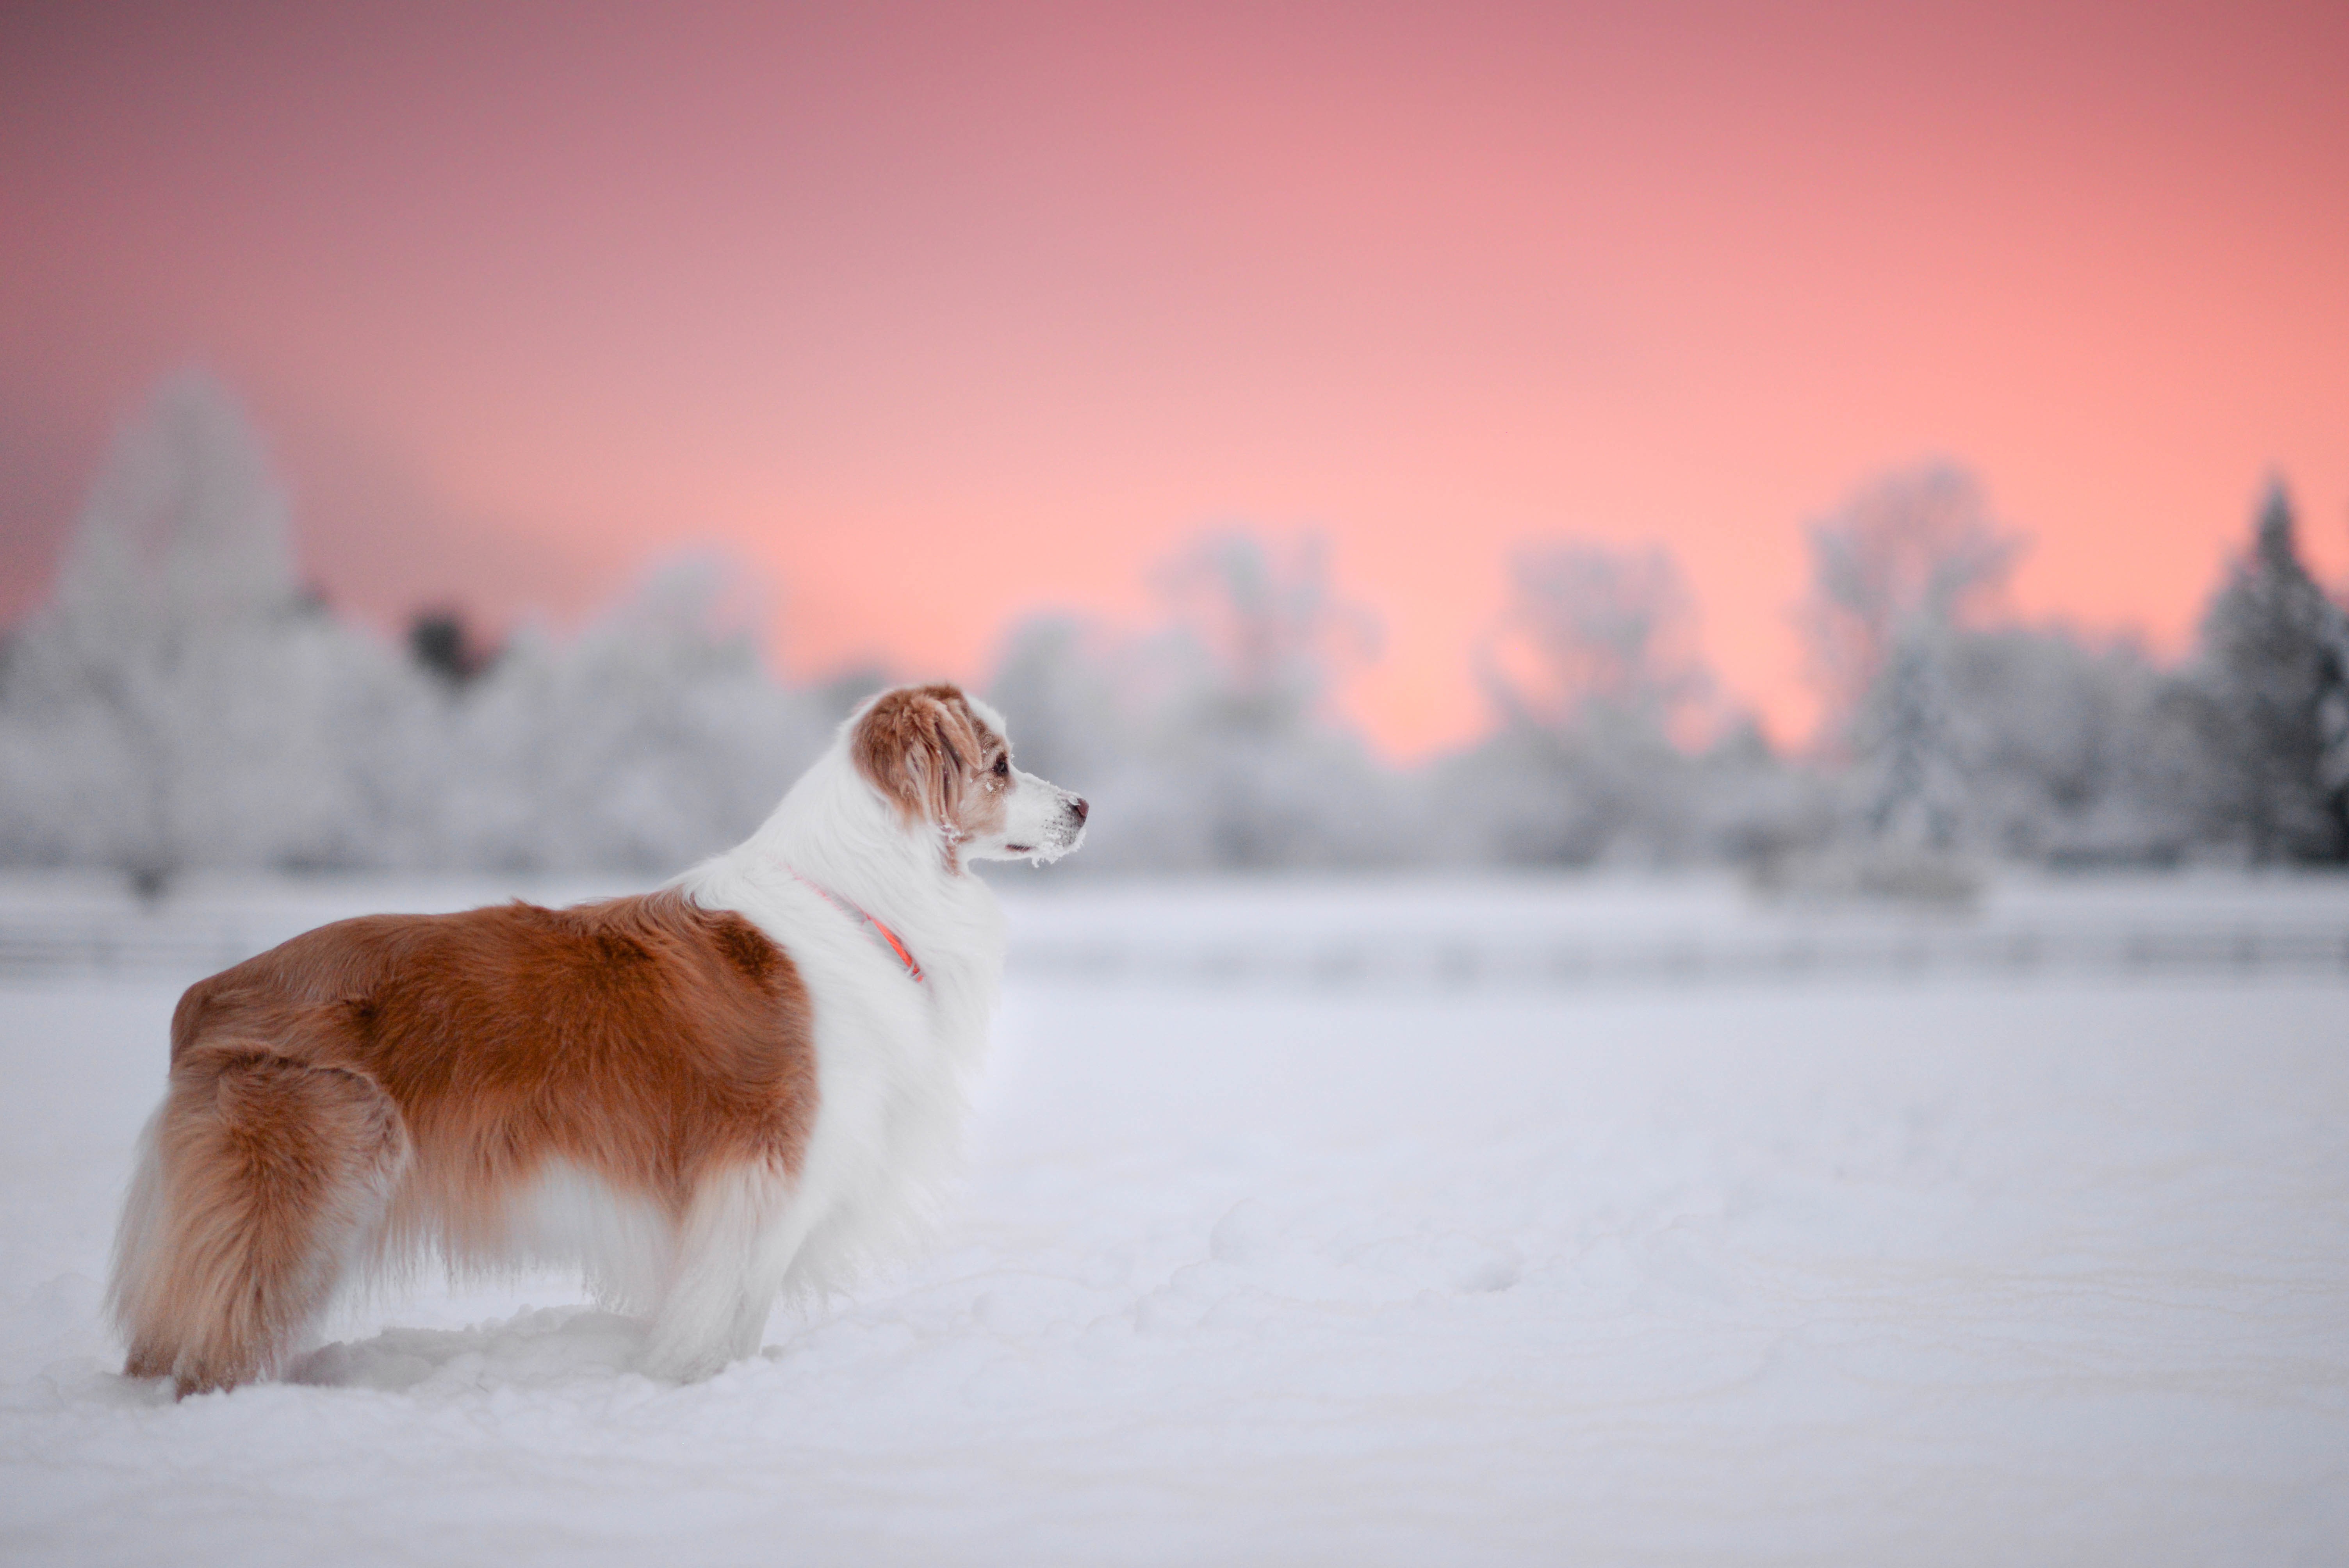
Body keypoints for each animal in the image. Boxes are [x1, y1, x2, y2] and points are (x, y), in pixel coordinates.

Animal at [108, 685, 1090, 1399]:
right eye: (1001, 763)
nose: (1083, 804)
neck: (858, 894)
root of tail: (205, 992)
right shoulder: (768, 1169)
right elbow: (730, 1307)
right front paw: (702, 1385)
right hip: (314, 1178)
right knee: (214, 1341)